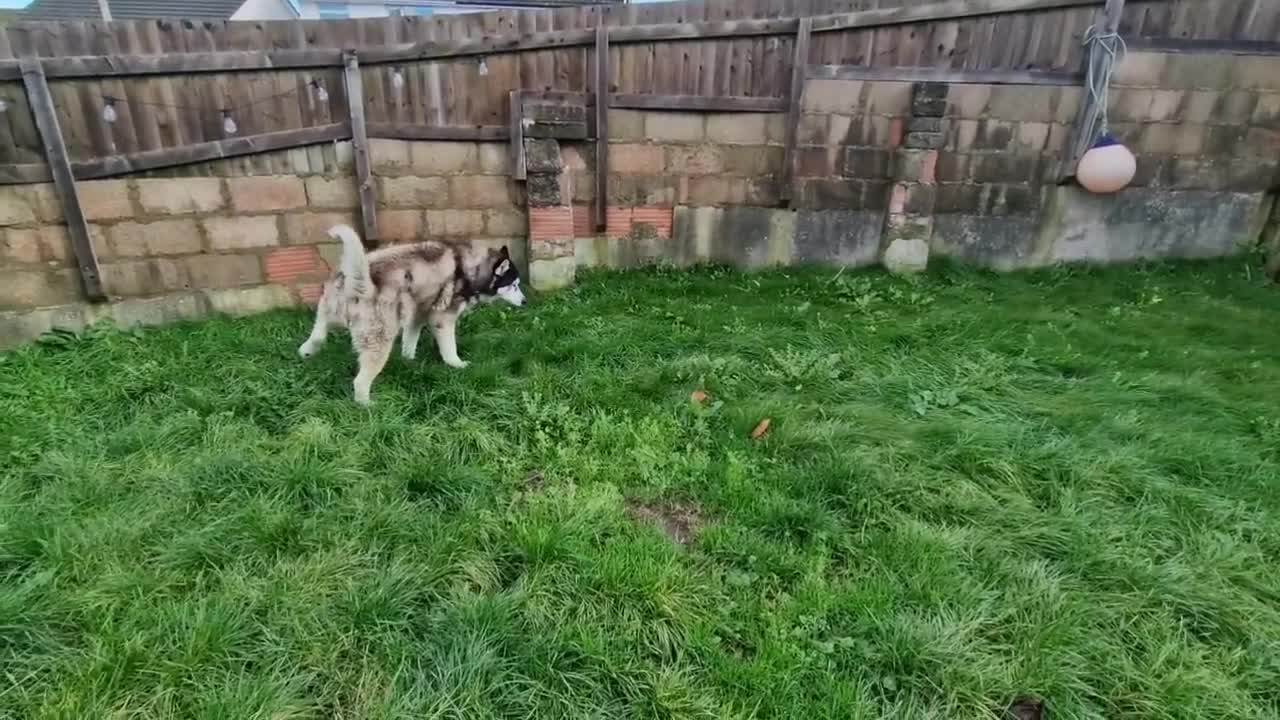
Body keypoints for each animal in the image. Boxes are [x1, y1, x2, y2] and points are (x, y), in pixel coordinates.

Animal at [295, 224, 524, 404]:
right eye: (513, 285)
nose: (525, 302)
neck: (469, 267)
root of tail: (358, 282)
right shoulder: (442, 319)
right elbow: (449, 349)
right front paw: (457, 364)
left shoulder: (417, 315)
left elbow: (410, 340)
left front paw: (408, 361)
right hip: (380, 340)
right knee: (360, 381)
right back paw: (366, 406)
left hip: (329, 315)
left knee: (316, 337)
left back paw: (306, 353)